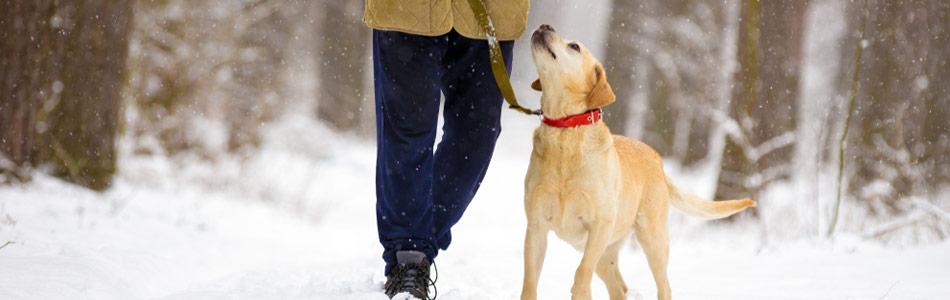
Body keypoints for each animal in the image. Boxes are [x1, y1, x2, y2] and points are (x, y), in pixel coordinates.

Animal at [520, 24, 760, 300]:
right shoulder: (536, 227)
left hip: (651, 239)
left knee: (663, 285)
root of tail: (659, 161)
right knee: (619, 287)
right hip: (607, 254)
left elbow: (581, 273)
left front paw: (579, 291)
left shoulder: (599, 227)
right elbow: (530, 282)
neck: (565, 131)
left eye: (575, 46)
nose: (545, 26)